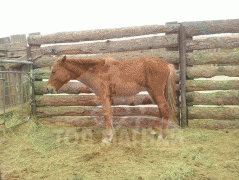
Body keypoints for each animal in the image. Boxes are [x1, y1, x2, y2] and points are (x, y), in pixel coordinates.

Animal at [47, 56, 177, 143]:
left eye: (54, 71)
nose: (49, 89)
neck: (97, 71)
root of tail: (167, 64)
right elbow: (109, 114)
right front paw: (111, 135)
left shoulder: (104, 97)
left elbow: (106, 115)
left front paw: (107, 138)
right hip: (154, 92)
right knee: (161, 110)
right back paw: (154, 130)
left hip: (156, 92)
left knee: (165, 110)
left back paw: (162, 136)